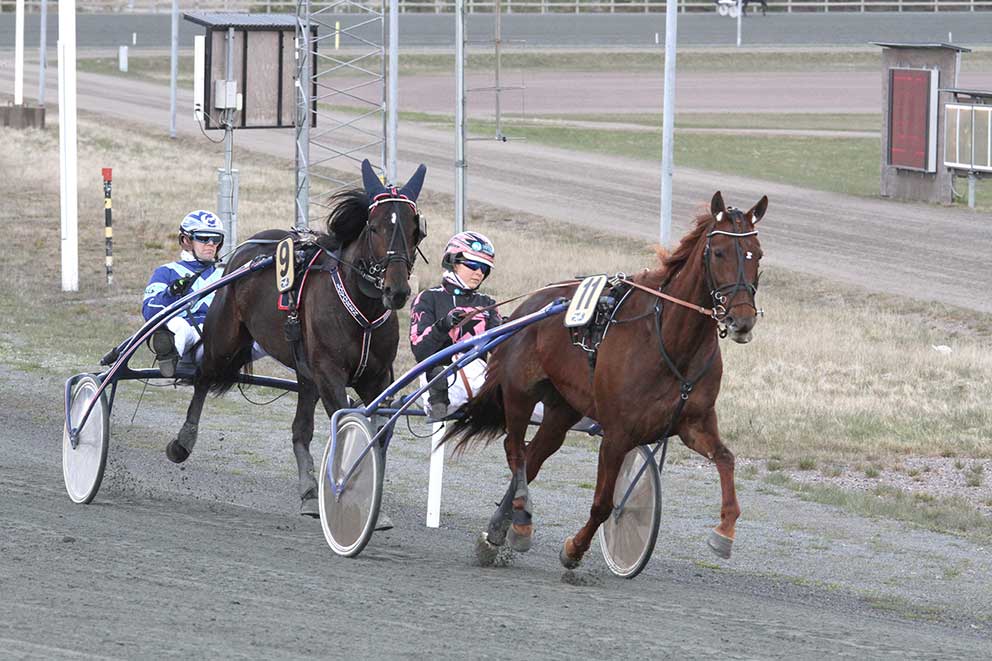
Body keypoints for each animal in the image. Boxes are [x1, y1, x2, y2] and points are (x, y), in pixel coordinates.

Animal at [167, 159, 428, 516]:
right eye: (374, 227)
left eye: (415, 229)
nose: (396, 290)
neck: (361, 308)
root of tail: (252, 244)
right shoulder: (330, 373)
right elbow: (345, 423)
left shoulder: (375, 378)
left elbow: (376, 432)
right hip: (225, 338)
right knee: (204, 377)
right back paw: (183, 441)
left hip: (305, 371)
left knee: (300, 429)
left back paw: (308, 491)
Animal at [444, 191, 767, 568]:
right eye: (719, 253)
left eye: (758, 254)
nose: (742, 320)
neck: (669, 342)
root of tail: (526, 309)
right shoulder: (617, 434)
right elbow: (602, 504)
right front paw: (573, 549)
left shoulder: (694, 423)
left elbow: (726, 459)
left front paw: (724, 533)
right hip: (519, 393)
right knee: (515, 450)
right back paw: (522, 520)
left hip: (563, 407)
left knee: (533, 456)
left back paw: (501, 529)